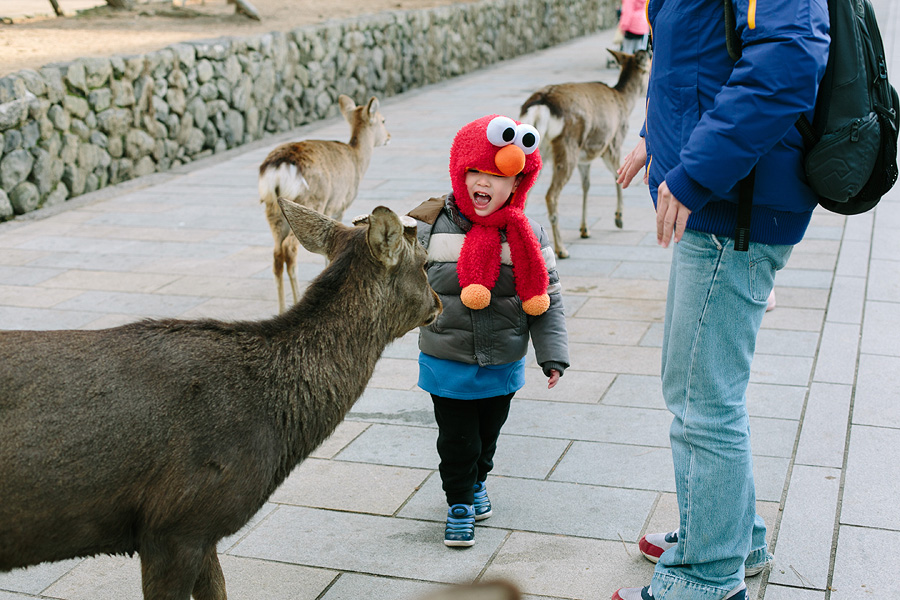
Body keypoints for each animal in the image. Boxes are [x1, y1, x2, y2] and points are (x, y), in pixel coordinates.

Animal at [259, 94, 391, 313]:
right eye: (383, 120)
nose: (389, 136)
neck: (357, 160)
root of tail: (279, 170)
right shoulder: (339, 205)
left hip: (272, 210)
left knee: (277, 254)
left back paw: (281, 309)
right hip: (309, 202)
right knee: (289, 250)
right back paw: (296, 300)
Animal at [519, 49, 651, 258]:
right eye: (649, 65)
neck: (623, 100)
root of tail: (540, 107)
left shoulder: (585, 158)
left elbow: (586, 186)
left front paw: (585, 229)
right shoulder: (613, 142)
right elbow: (618, 176)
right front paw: (619, 218)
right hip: (567, 147)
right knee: (551, 195)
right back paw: (562, 249)